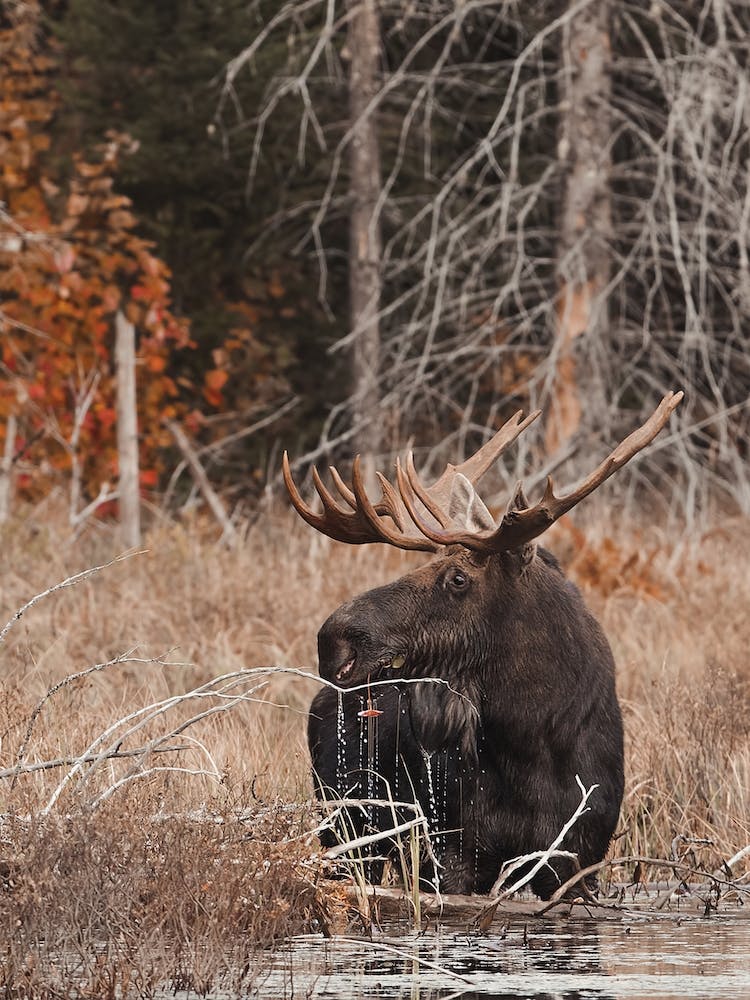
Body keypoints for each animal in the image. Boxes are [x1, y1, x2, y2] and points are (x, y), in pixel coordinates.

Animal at [283, 391, 683, 898]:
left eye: (458, 578)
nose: (334, 640)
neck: (534, 741)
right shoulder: (451, 854)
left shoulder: (578, 858)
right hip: (346, 826)